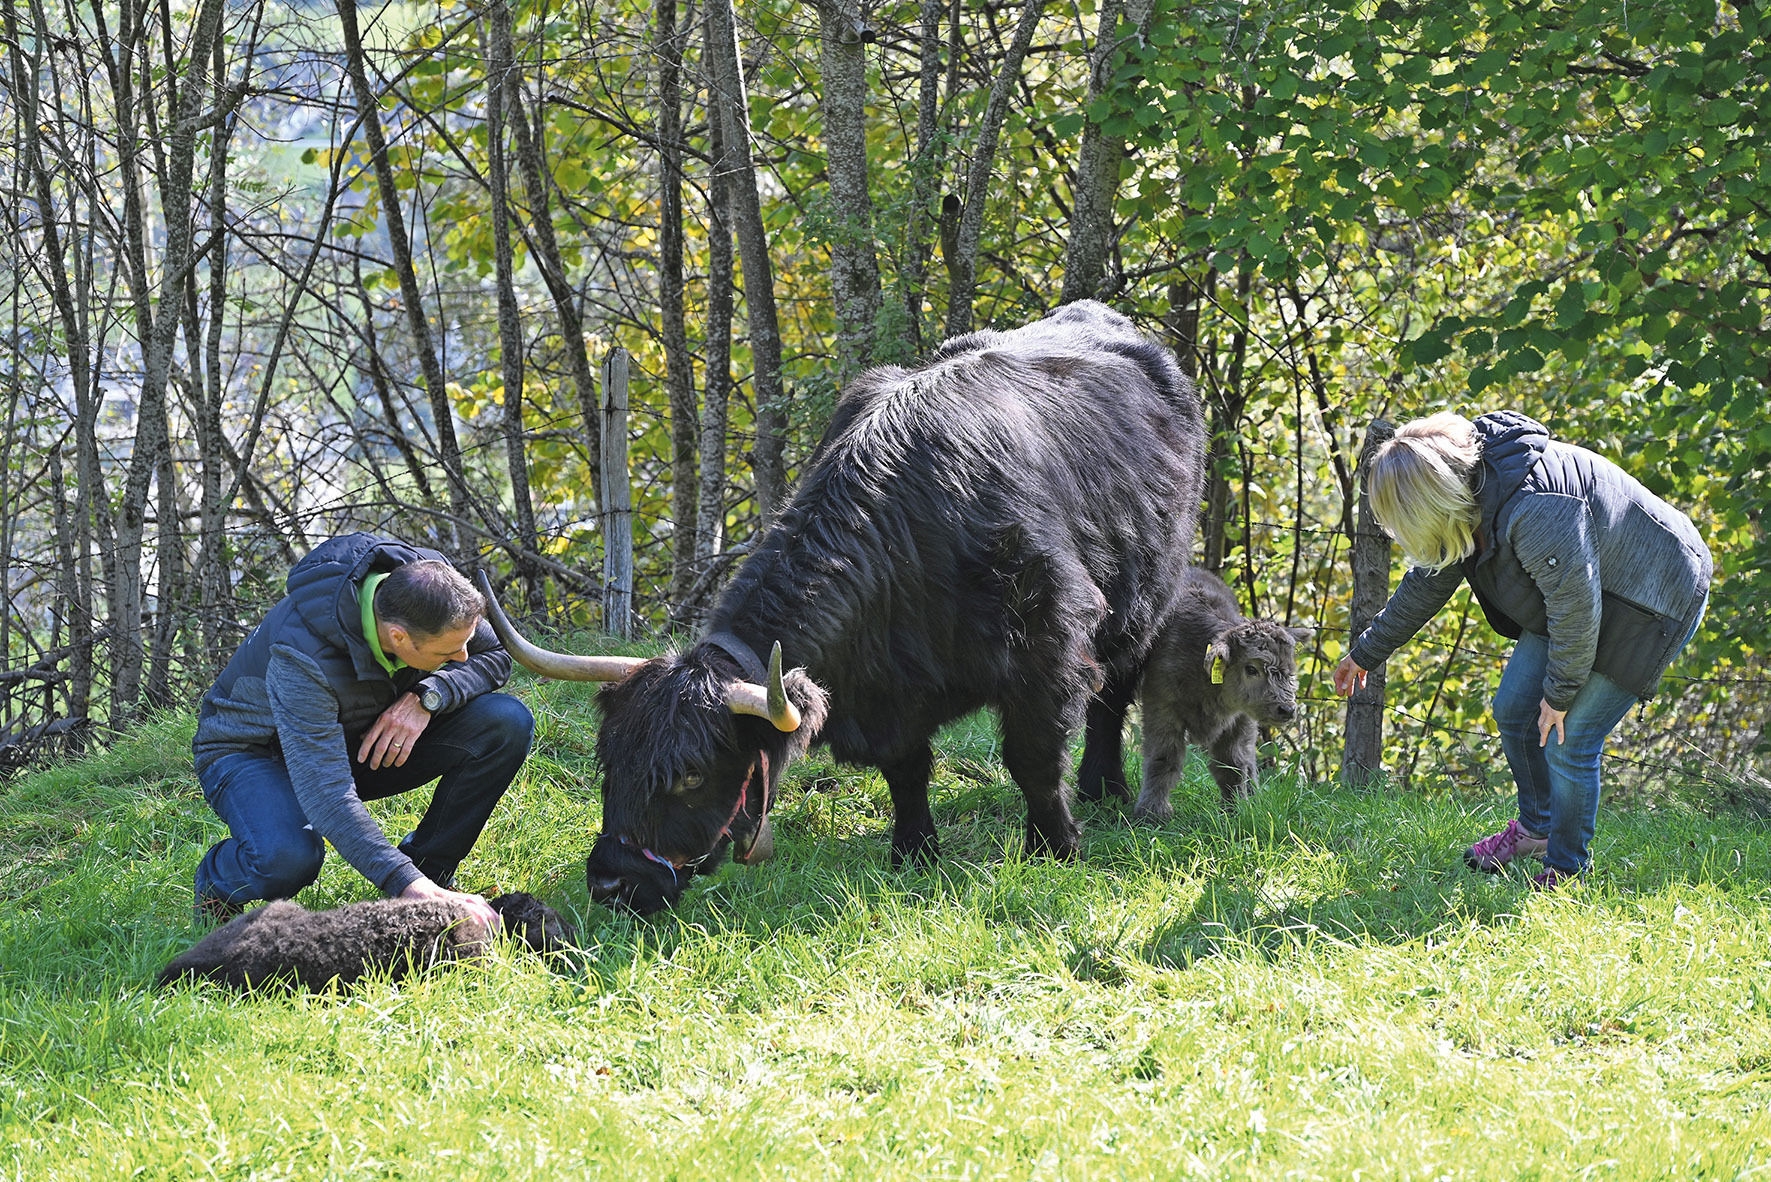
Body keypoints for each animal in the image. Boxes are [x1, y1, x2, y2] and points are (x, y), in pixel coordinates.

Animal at [481, 301, 1204, 914]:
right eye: (609, 762)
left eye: (688, 775)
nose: (610, 882)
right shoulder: (889, 689)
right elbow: (907, 768)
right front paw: (913, 851)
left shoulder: (1047, 647)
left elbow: (1033, 757)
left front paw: (1055, 847)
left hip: (1145, 595)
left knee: (1114, 695)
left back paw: (1104, 789)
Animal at [1126, 570, 1310, 822]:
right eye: (1251, 669)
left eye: (1289, 667)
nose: (1287, 709)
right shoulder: (1161, 708)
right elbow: (1163, 758)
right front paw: (1152, 812)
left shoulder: (1240, 721)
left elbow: (1233, 764)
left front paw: (1237, 810)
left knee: (1249, 761)